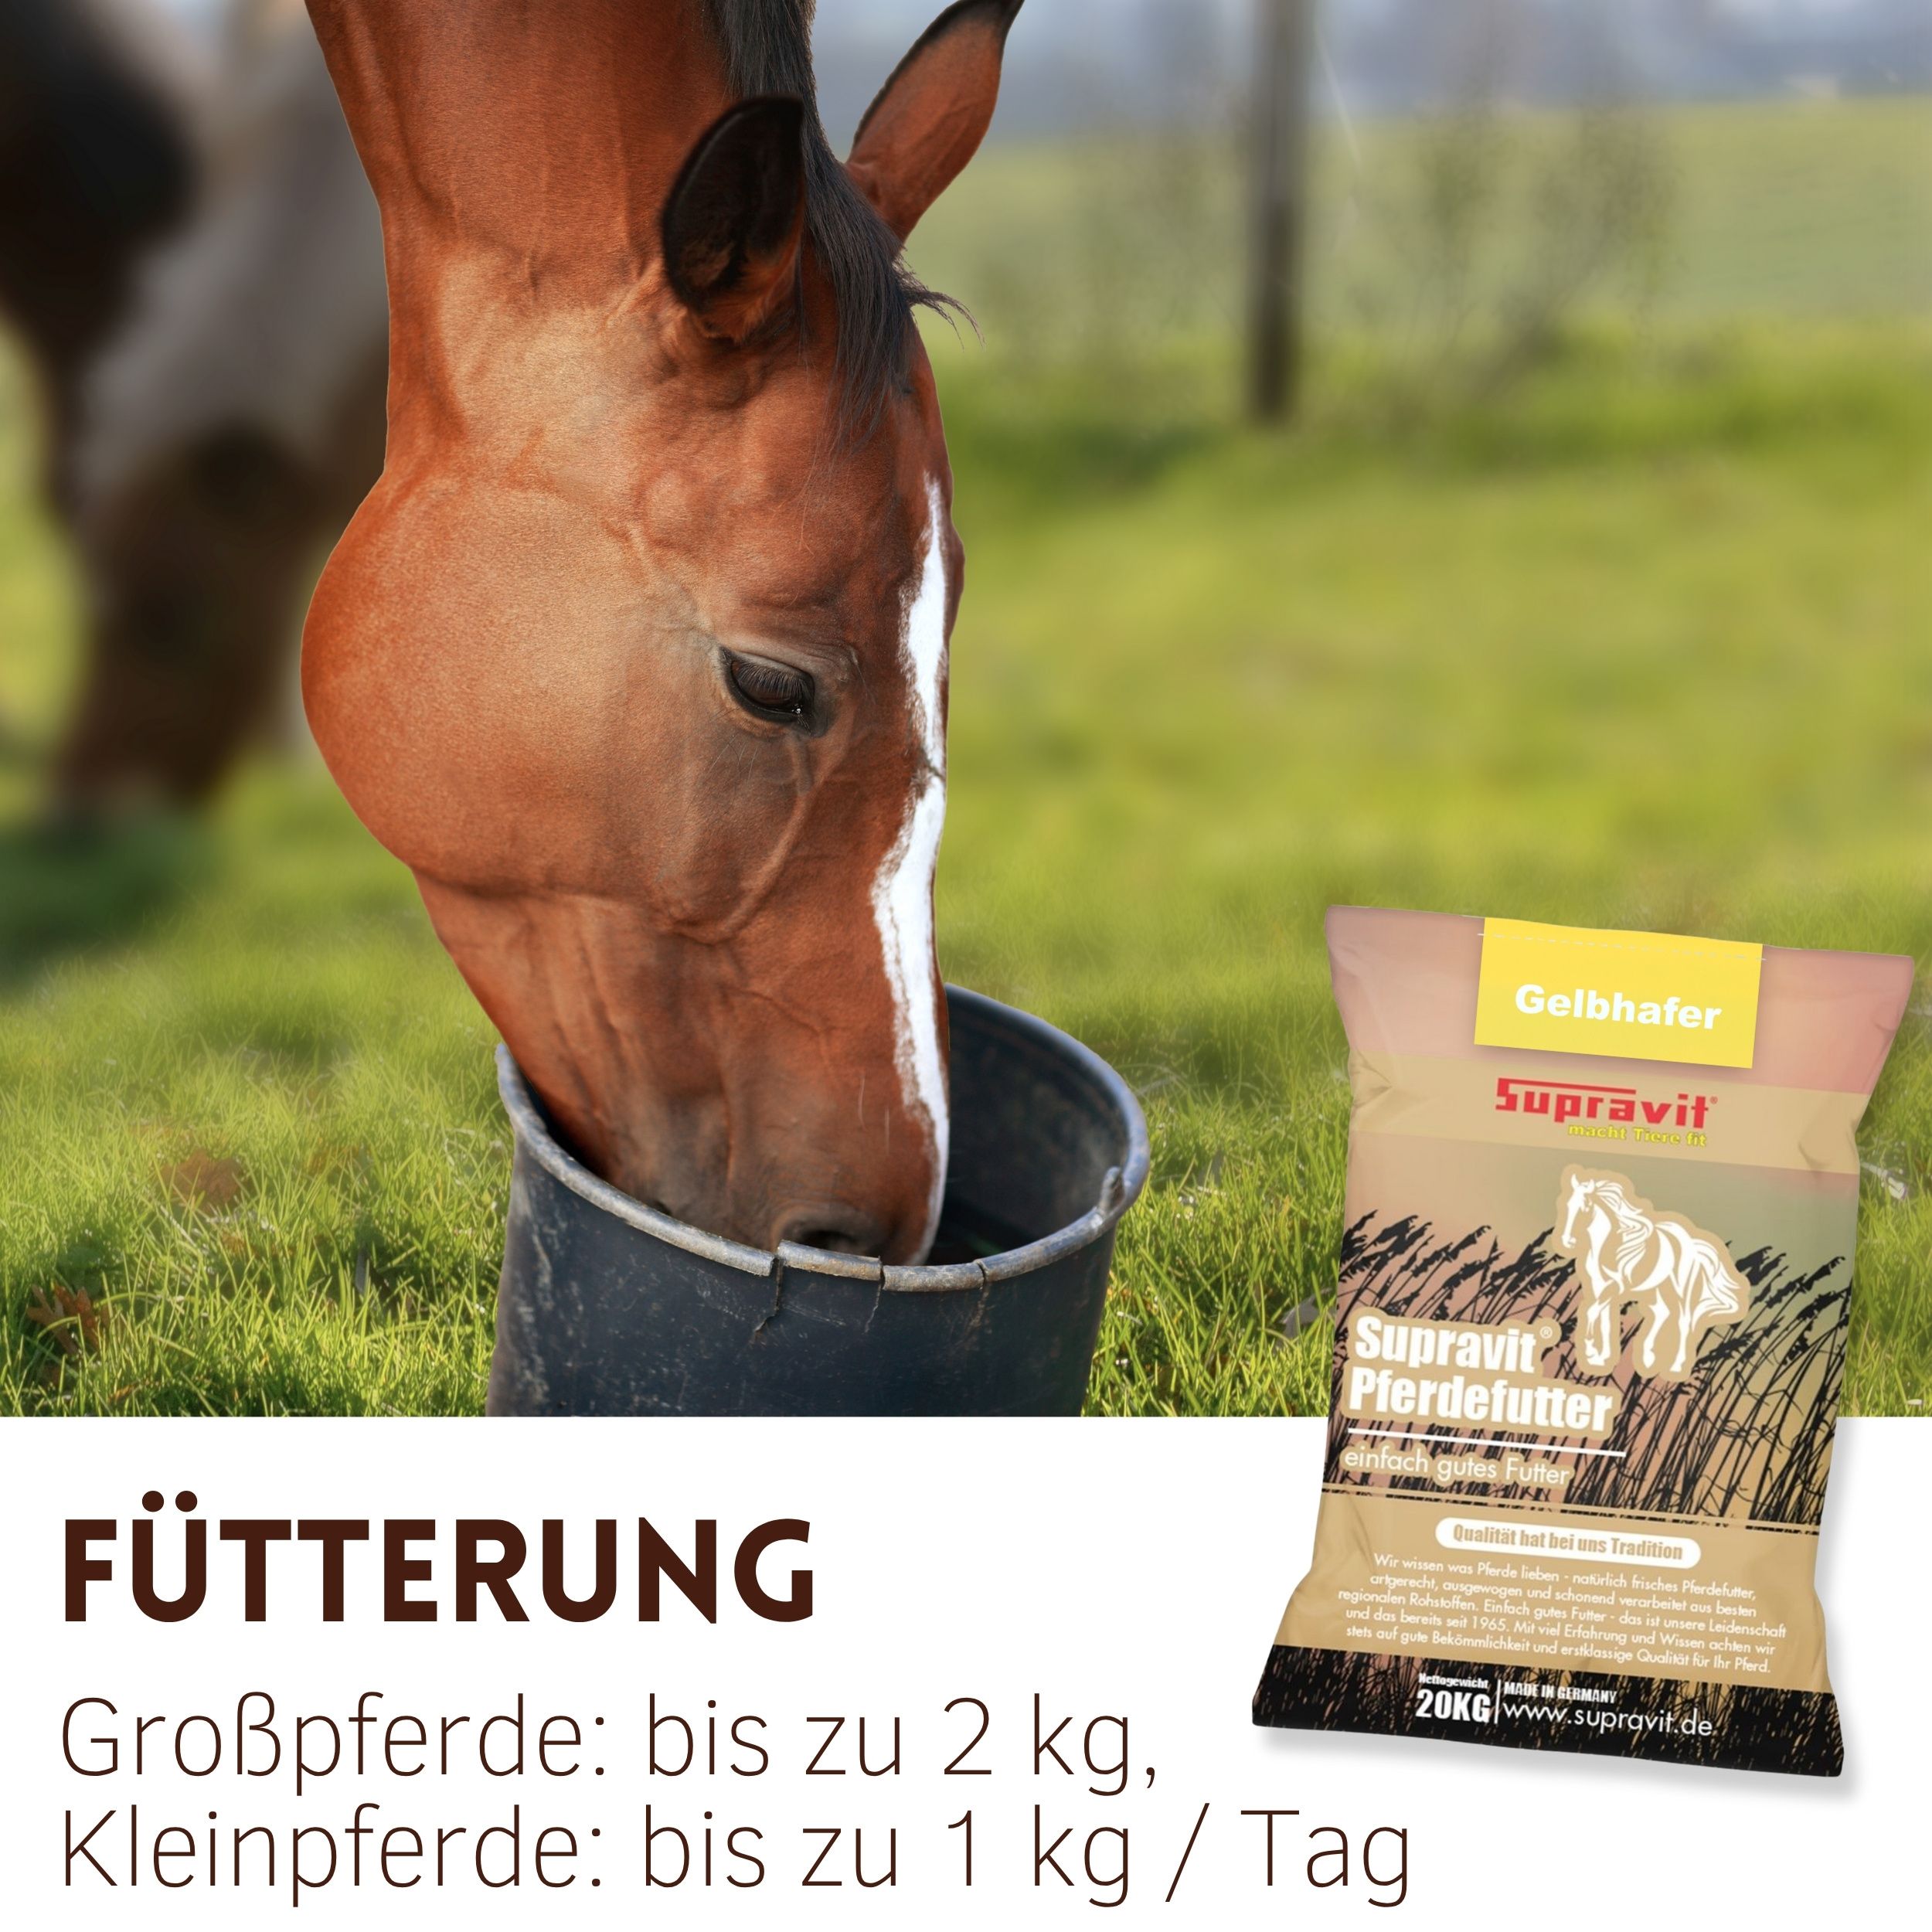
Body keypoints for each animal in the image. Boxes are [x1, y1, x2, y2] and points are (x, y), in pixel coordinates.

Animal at [1556, 1166, 1748, 1380]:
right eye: (1567, 1204)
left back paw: (1675, 1367)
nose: (1567, 1242)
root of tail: (1695, 1246)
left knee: (1684, 1322)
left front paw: (1590, 1351)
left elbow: (1591, 1311)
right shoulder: (1600, 1286)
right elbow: (1604, 1319)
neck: (1608, 1244)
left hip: (1681, 1293)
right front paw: (1600, 1358)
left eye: (1585, 1207)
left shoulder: (1614, 1287)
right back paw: (1648, 1359)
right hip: (1658, 1289)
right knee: (1661, 1312)